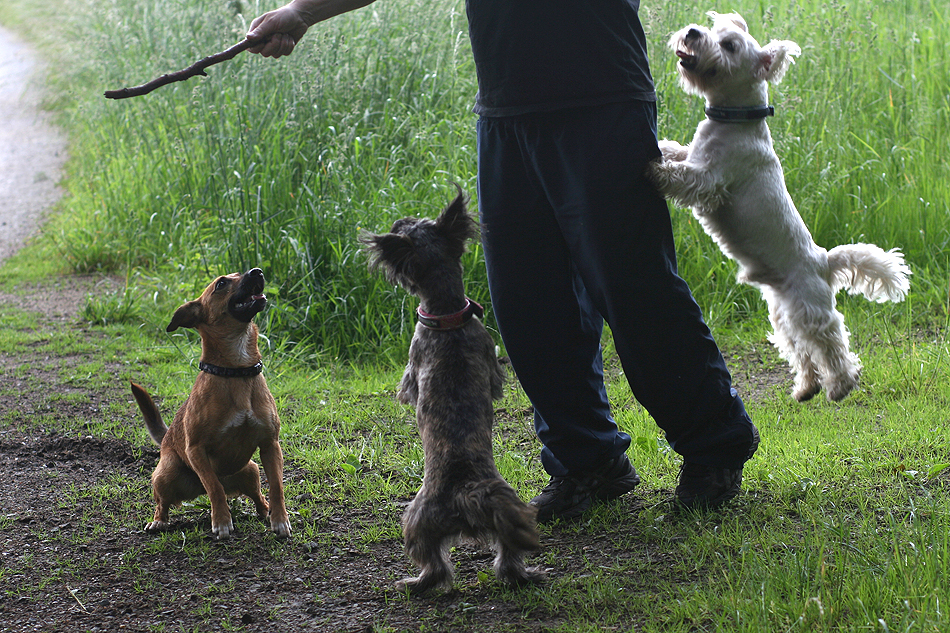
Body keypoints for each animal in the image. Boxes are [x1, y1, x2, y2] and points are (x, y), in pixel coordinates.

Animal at [131, 266, 290, 540]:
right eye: (221, 284)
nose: (257, 271)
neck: (237, 369)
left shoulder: (271, 445)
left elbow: (277, 486)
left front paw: (280, 520)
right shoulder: (196, 450)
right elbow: (214, 486)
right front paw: (222, 522)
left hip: (251, 471)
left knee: (259, 497)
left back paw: (265, 512)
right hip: (166, 472)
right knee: (166, 502)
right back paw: (159, 521)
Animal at [362, 186, 548, 592]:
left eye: (408, 226)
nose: (399, 219)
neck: (447, 313)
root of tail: (464, 493)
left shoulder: (414, 363)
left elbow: (408, 388)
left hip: (417, 519)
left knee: (434, 564)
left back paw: (415, 583)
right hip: (505, 511)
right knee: (508, 555)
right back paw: (525, 574)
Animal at [652, 13, 912, 400]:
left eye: (730, 45)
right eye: (714, 28)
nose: (693, 31)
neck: (734, 119)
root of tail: (823, 261)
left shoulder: (711, 180)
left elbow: (683, 176)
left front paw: (653, 170)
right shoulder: (695, 157)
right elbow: (677, 151)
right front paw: (660, 148)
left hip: (809, 310)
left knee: (832, 343)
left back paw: (840, 386)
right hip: (782, 314)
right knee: (801, 350)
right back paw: (805, 387)